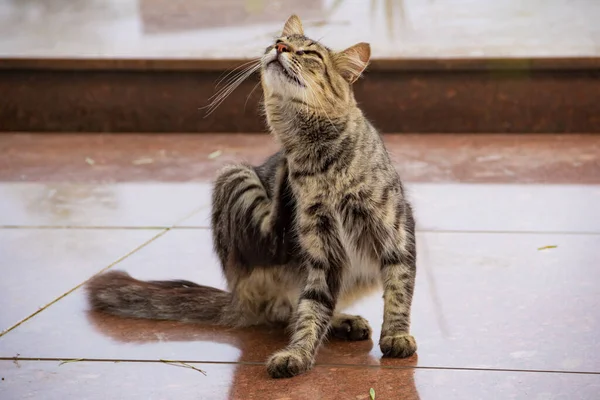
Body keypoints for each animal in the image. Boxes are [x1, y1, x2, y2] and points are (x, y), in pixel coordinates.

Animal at [88, 15, 418, 378]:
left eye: (309, 53)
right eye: (278, 41)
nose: (280, 47)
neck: (317, 154)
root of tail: (236, 297)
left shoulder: (396, 232)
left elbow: (398, 291)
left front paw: (397, 336)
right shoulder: (321, 250)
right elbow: (311, 308)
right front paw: (298, 353)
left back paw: (344, 320)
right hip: (236, 178)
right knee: (280, 273)